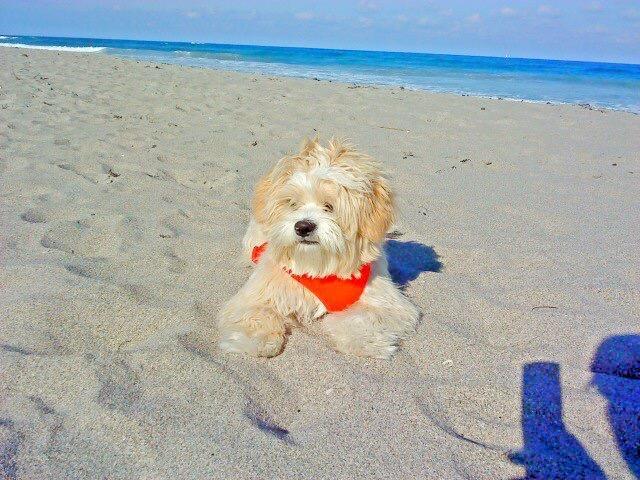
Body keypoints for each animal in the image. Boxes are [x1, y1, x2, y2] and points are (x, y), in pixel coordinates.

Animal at [219, 138, 420, 356]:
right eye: (293, 204)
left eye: (329, 206)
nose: (303, 226)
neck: (317, 268)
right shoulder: (258, 294)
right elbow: (258, 313)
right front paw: (257, 341)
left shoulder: (385, 301)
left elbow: (365, 318)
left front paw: (365, 342)